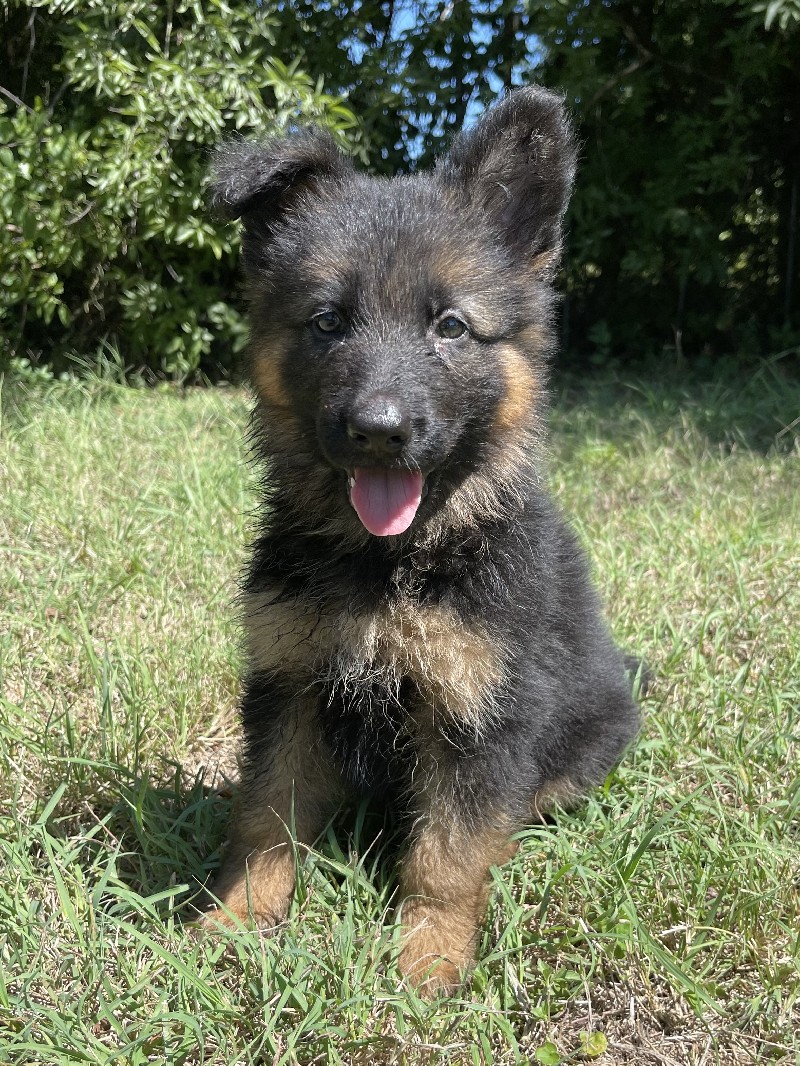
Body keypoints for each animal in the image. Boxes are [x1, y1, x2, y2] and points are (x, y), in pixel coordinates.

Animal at [208, 87, 644, 993]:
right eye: (327, 322)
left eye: (450, 326)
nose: (379, 431)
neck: (391, 564)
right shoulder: (289, 683)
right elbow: (266, 817)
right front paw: (236, 918)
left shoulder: (482, 710)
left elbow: (447, 852)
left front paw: (429, 960)